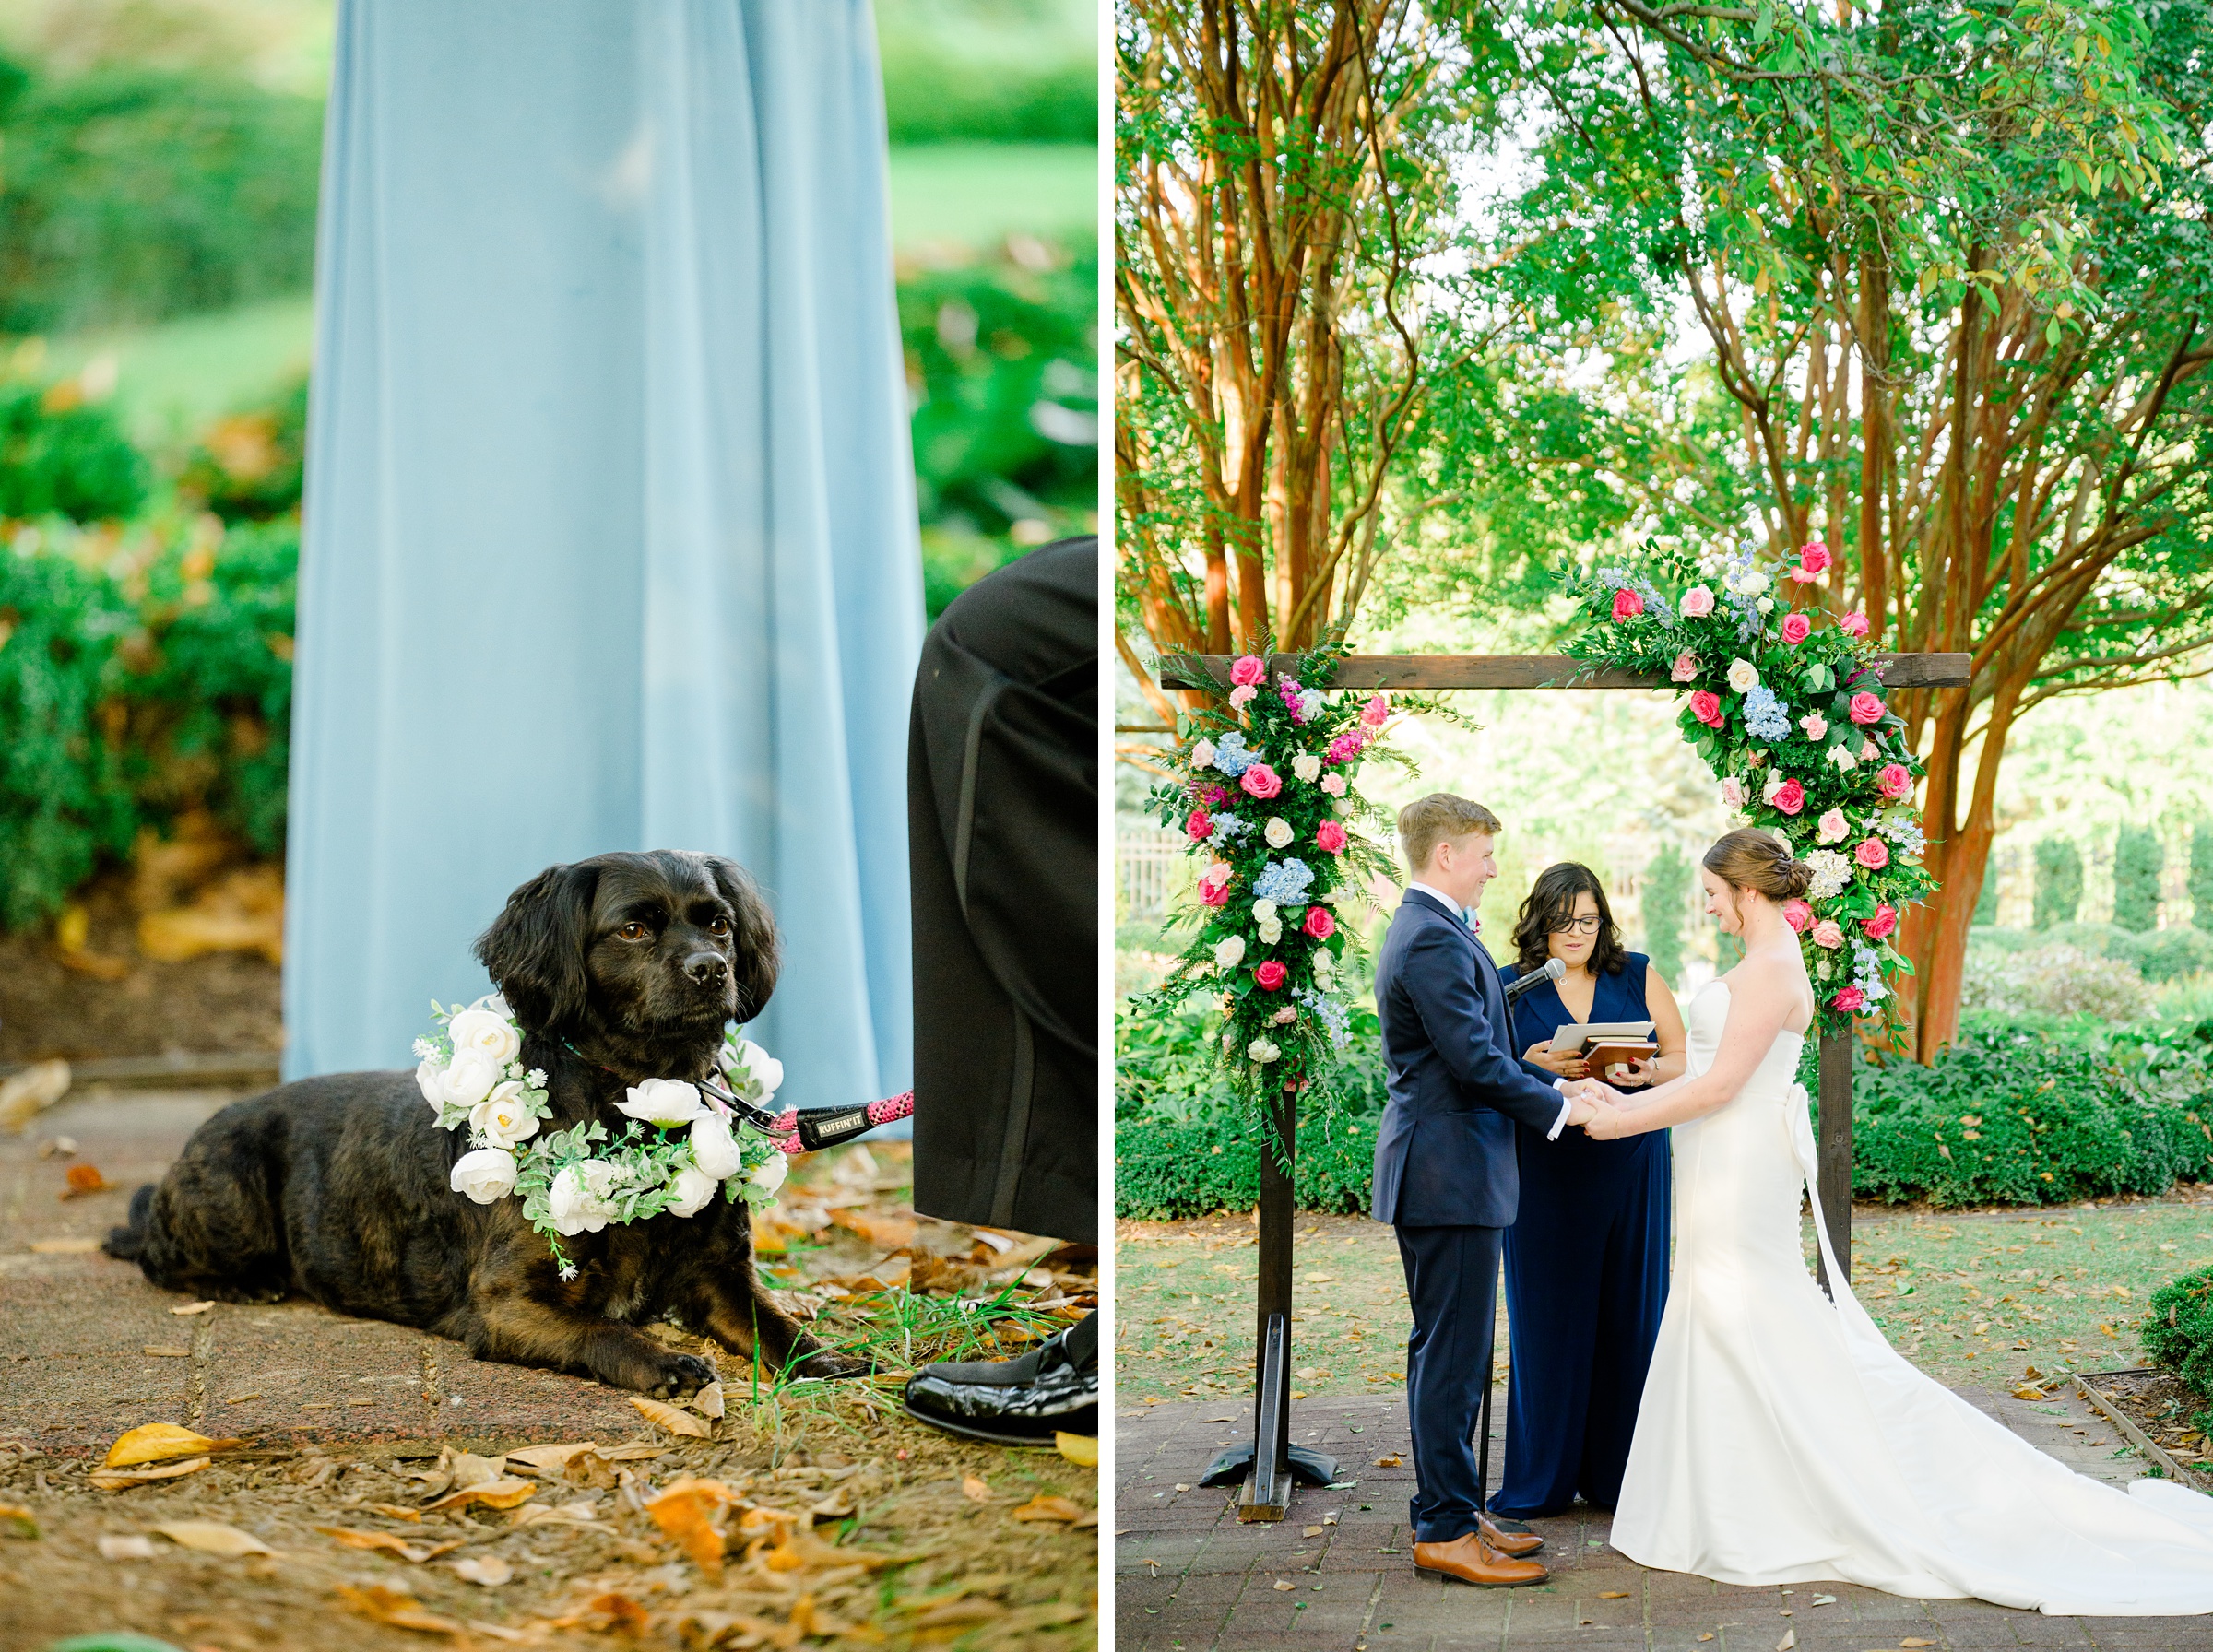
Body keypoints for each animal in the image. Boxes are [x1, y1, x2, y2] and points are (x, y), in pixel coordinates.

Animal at [108, 853, 858, 1398]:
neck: (645, 1097)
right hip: (229, 1197)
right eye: (634, 929)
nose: (712, 969)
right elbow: (601, 1333)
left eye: (720, 924)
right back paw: (238, 1281)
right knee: (154, 1255)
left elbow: (779, 1327)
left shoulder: (720, 1273)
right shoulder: (505, 1302)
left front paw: (829, 1359)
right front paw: (664, 1361)